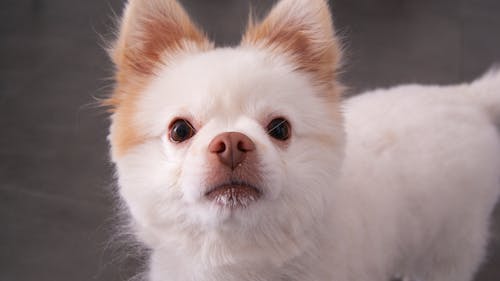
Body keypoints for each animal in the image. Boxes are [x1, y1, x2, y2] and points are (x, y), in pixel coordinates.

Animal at [106, 0, 500, 280]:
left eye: (280, 129)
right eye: (180, 130)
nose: (232, 142)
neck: (237, 260)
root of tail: (466, 97)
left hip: (449, 250)